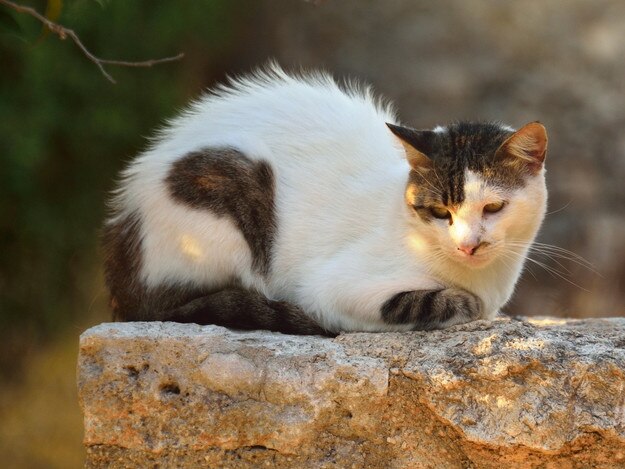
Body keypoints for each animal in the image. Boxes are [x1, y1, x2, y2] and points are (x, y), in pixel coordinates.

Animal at [102, 65, 544, 336]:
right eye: (439, 212)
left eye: (493, 207)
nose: (468, 246)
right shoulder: (331, 289)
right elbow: (443, 303)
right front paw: (466, 303)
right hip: (228, 187)